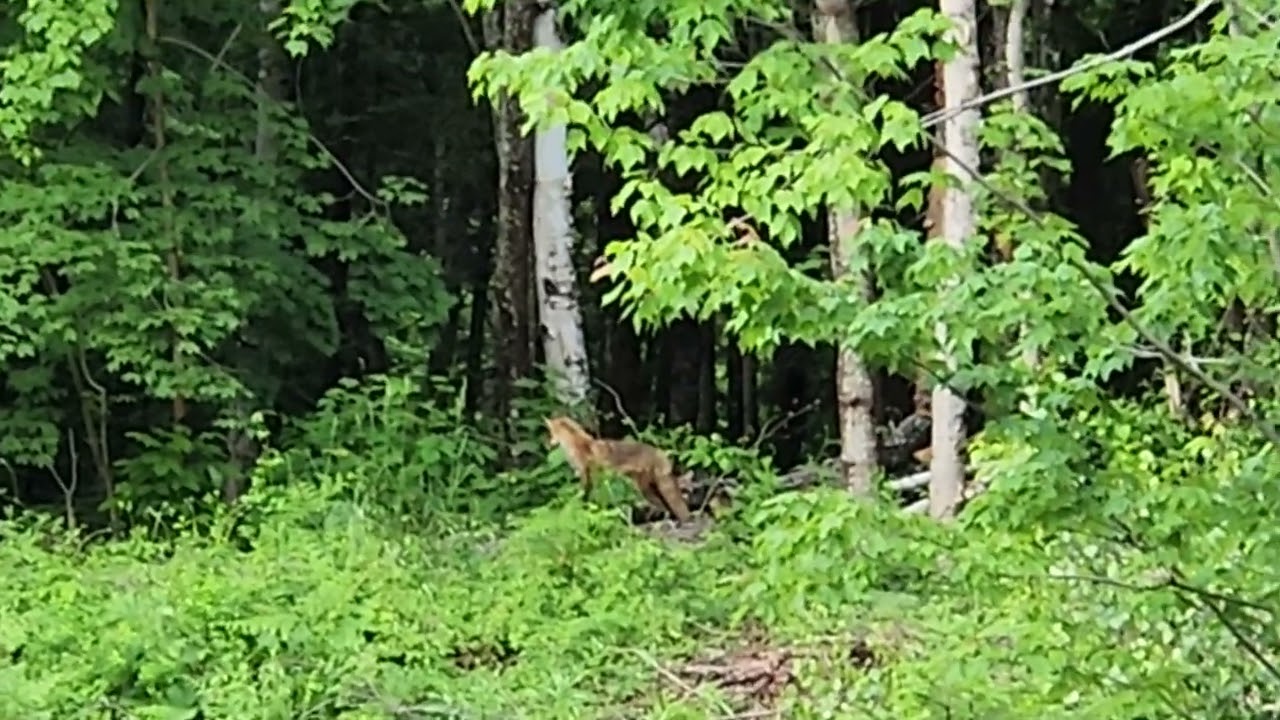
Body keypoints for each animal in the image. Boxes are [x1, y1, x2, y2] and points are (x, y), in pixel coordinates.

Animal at [544, 415, 693, 523]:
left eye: (552, 433)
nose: (549, 444)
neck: (575, 445)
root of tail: (657, 451)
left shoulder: (586, 475)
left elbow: (584, 495)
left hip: (643, 489)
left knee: (663, 505)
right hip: (646, 486)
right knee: (665, 505)